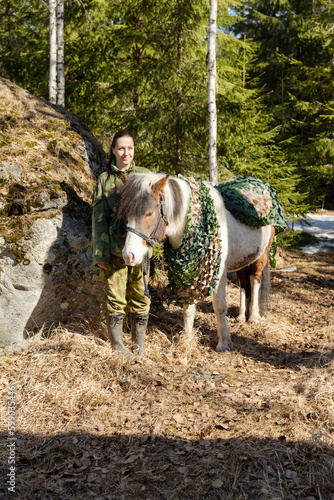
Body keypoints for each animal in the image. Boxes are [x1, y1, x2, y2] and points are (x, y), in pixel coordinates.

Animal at [118, 172, 276, 352]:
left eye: (149, 213)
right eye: (126, 215)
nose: (129, 255)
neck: (195, 221)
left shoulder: (219, 272)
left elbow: (219, 306)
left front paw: (224, 343)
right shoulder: (188, 270)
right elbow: (188, 308)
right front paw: (186, 338)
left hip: (261, 257)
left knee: (255, 281)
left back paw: (254, 317)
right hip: (242, 262)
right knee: (244, 284)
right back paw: (242, 316)